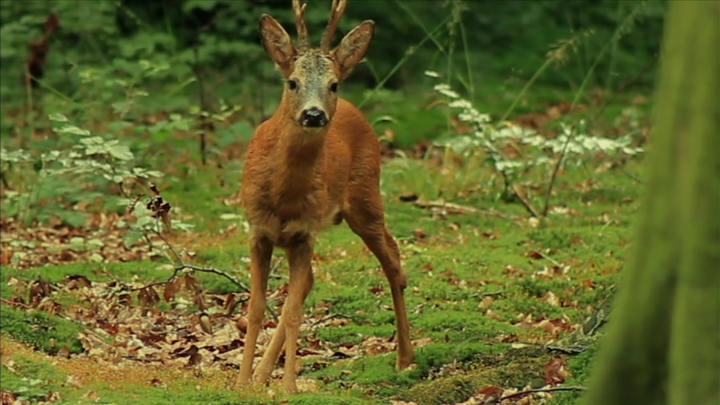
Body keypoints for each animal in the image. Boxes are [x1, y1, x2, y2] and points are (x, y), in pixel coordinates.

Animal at [239, 0, 414, 392]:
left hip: (366, 196)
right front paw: (240, 382)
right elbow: (256, 308)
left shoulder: (305, 231)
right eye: (292, 82)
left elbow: (291, 313)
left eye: (333, 84)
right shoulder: (258, 230)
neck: (283, 198)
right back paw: (261, 375)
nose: (314, 113)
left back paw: (405, 359)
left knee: (394, 263)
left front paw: (288, 388)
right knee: (308, 284)